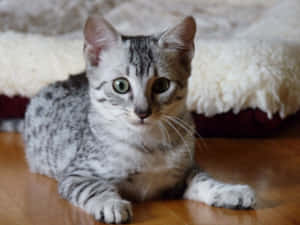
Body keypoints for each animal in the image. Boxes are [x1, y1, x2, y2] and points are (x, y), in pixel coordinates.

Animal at [22, 15, 255, 223]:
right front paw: (110, 204)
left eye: (161, 85)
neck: (149, 146)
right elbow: (94, 187)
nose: (142, 111)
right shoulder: (76, 174)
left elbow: (204, 179)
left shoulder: (184, 170)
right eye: (121, 85)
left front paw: (230, 190)